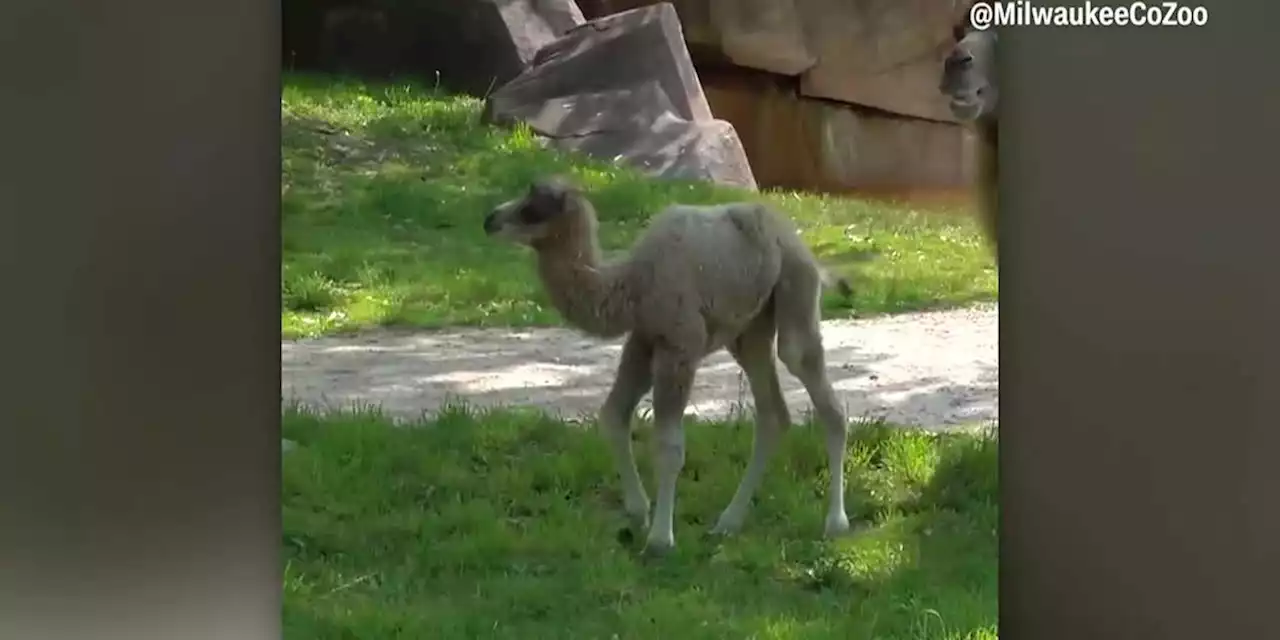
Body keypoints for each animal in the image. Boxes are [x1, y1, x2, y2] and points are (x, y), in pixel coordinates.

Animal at [483, 176, 855, 555]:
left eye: (533, 208)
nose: (490, 220)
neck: (631, 287)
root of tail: (799, 242)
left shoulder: (679, 346)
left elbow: (669, 445)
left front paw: (661, 540)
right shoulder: (643, 340)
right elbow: (613, 415)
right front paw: (638, 511)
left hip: (795, 288)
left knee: (814, 382)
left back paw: (836, 522)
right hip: (750, 330)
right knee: (772, 414)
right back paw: (728, 523)